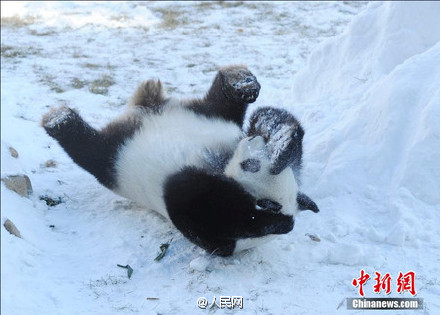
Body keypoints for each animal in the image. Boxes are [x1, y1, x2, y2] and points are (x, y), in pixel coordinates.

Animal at [41, 65, 318, 258]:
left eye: (251, 165)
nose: (252, 139)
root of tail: (147, 111)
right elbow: (288, 138)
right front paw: (278, 138)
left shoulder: (214, 231)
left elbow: (190, 195)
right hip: (206, 113)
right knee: (227, 102)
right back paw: (241, 82)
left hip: (117, 159)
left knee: (89, 151)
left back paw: (60, 121)